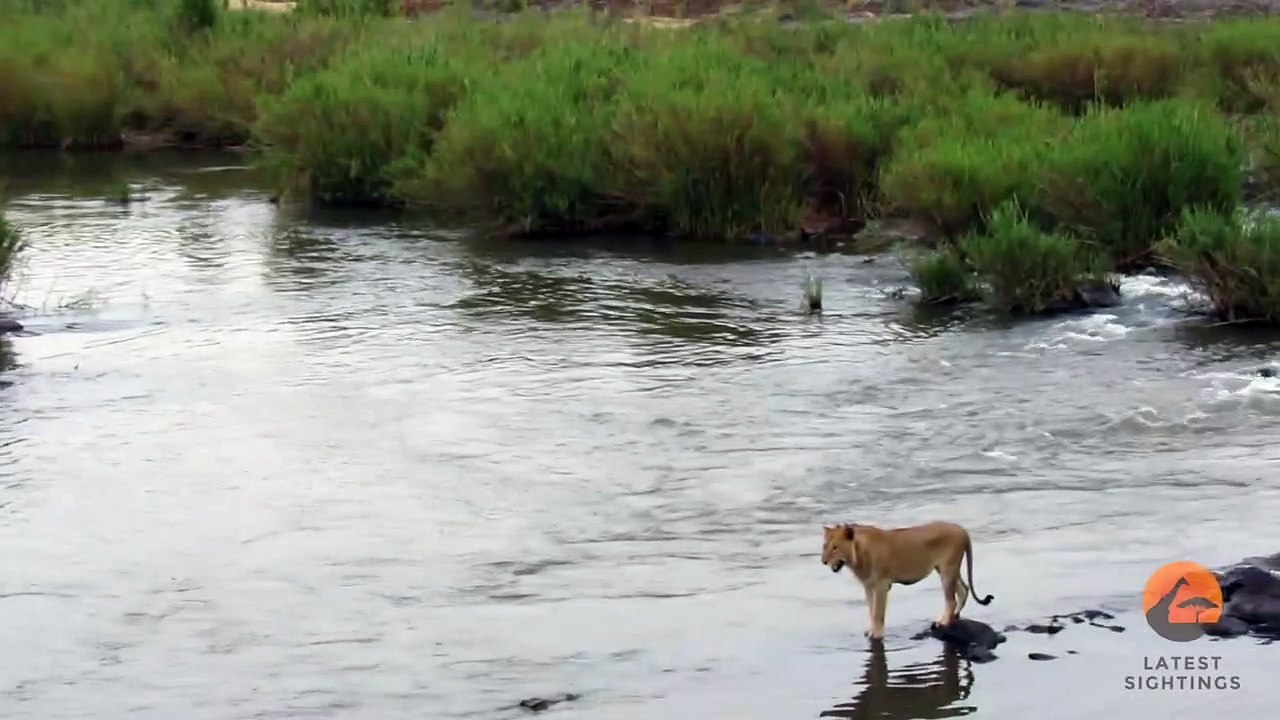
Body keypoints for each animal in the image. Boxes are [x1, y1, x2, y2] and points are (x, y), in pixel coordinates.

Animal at [821, 521, 994, 640]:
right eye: (824, 546)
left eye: (835, 547)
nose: (823, 561)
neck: (857, 555)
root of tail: (962, 529)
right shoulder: (868, 586)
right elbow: (871, 610)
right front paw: (870, 631)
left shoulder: (881, 585)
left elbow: (878, 612)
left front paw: (876, 635)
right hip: (945, 570)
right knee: (963, 590)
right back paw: (953, 617)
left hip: (948, 569)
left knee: (951, 599)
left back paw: (942, 623)